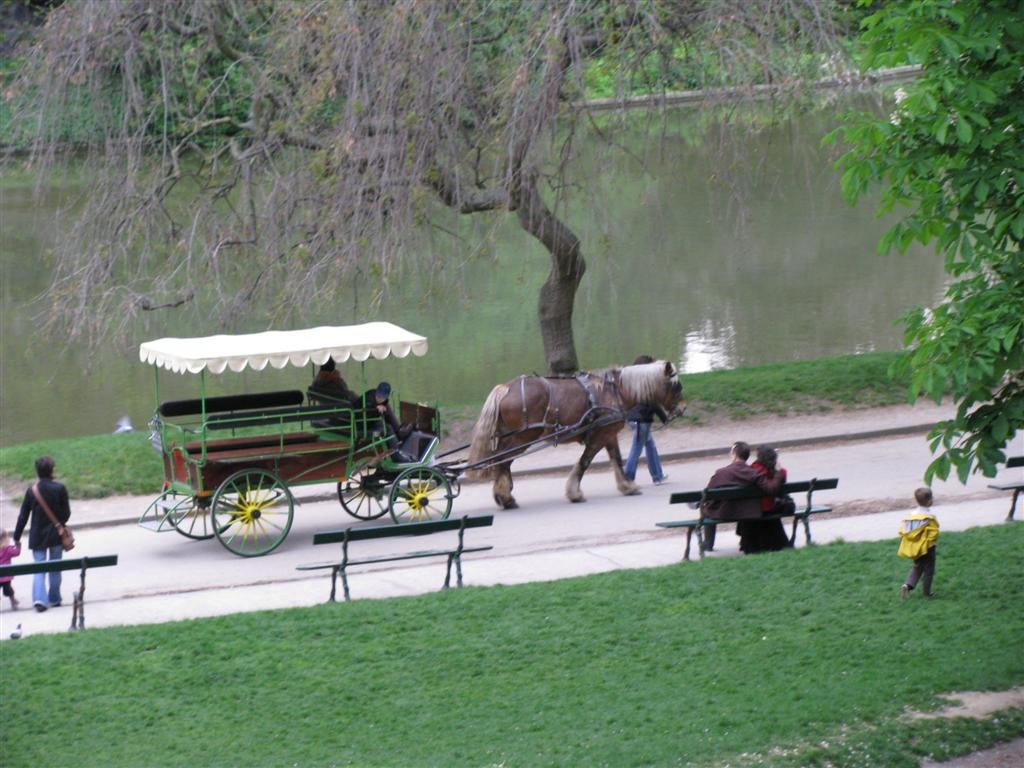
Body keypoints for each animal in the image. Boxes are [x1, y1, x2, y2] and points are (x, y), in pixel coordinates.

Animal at [468, 362, 684, 512]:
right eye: (676, 387)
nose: (682, 409)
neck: (615, 391)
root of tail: (505, 388)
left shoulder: (608, 434)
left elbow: (616, 459)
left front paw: (627, 486)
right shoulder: (600, 436)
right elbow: (584, 462)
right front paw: (574, 493)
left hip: (511, 437)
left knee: (501, 461)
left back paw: (503, 494)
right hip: (523, 437)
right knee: (504, 460)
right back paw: (505, 497)